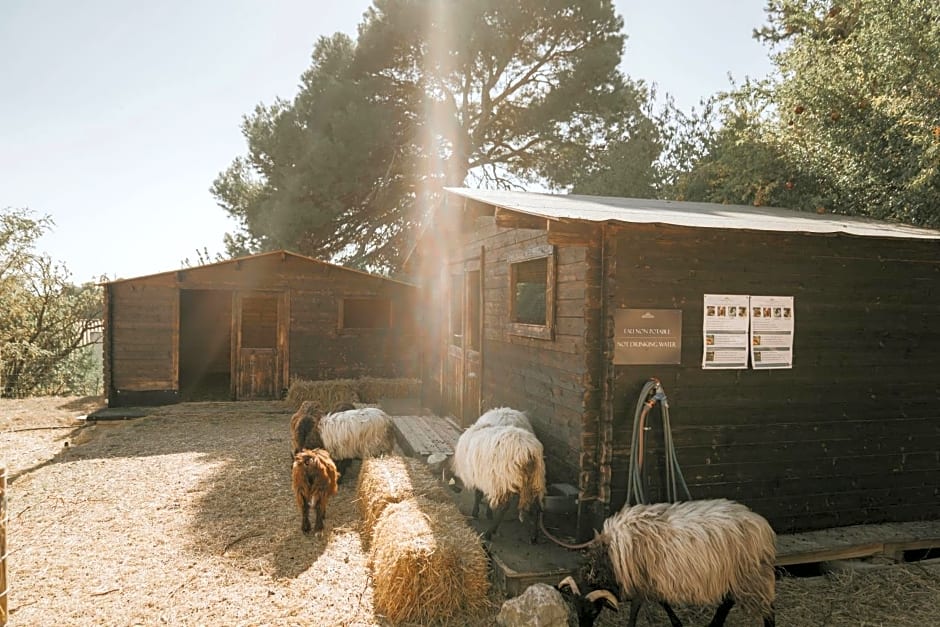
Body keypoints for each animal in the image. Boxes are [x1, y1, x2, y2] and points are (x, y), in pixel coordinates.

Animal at [580, 500, 780, 627]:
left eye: (591, 611)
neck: (610, 558)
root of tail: (762, 524)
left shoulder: (642, 581)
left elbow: (636, 609)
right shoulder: (652, 581)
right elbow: (662, 603)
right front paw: (677, 623)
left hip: (752, 575)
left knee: (767, 609)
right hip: (737, 576)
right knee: (728, 601)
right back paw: (714, 624)